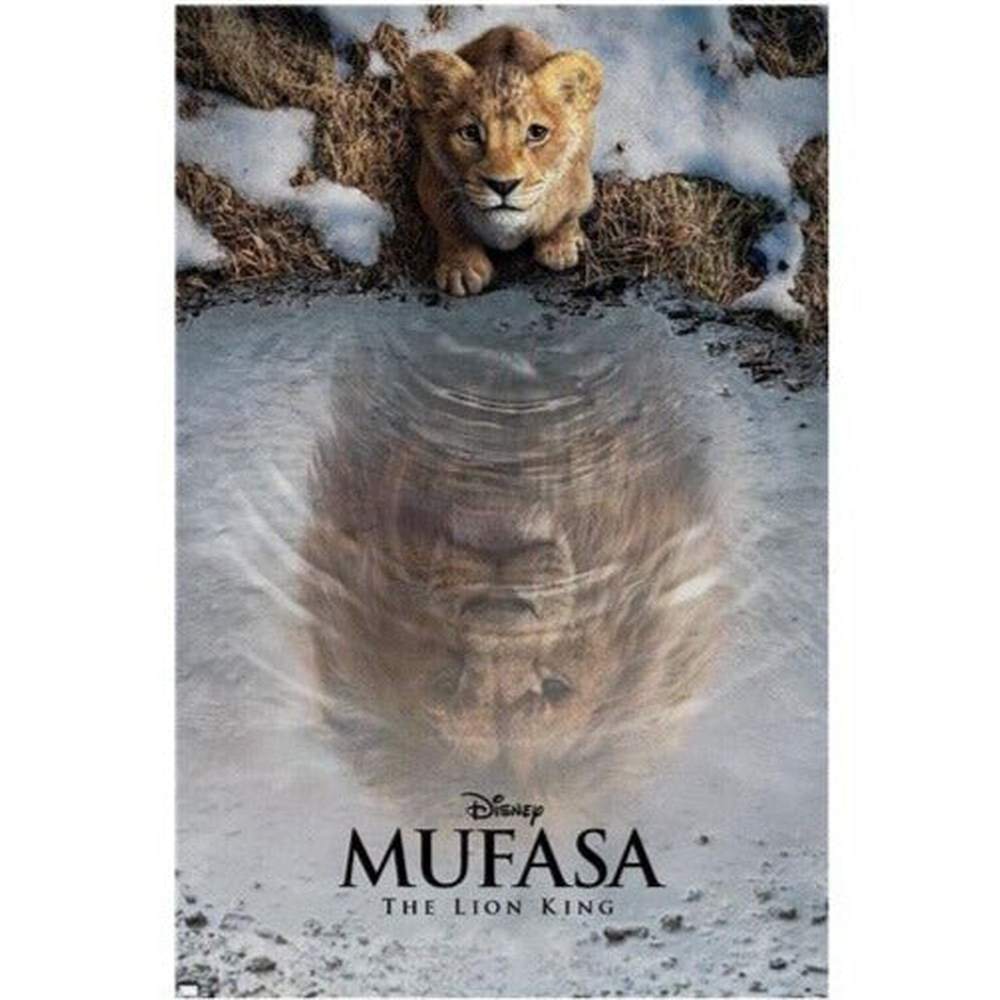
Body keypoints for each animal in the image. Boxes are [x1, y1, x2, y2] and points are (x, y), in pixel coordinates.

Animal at [404, 25, 603, 296]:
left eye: (537, 132)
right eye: (470, 133)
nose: (503, 185)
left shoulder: (580, 184)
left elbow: (564, 217)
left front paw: (560, 248)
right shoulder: (432, 184)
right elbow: (451, 228)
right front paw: (461, 269)